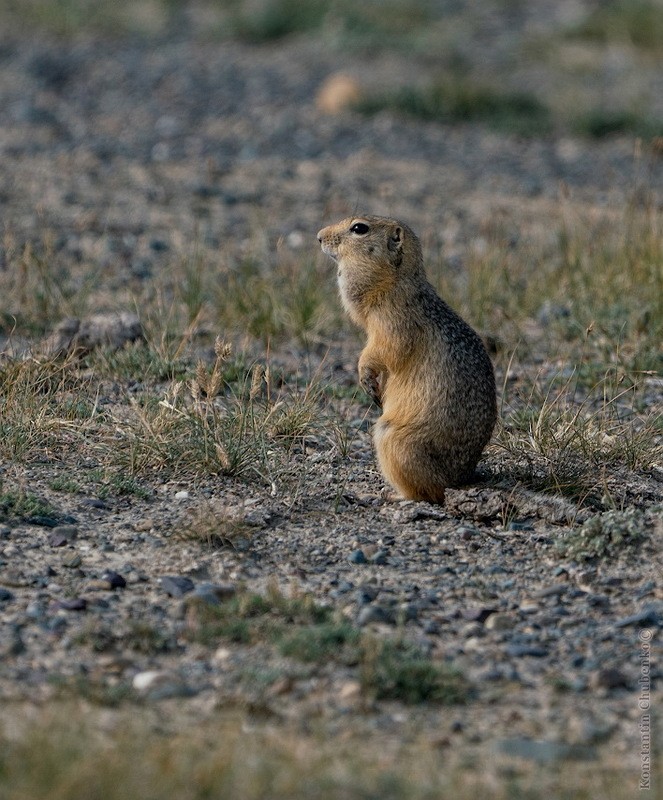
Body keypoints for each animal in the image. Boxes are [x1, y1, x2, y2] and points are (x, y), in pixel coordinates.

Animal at [318, 212, 498, 500]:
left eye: (359, 228)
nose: (319, 237)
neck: (394, 281)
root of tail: (463, 478)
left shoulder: (393, 321)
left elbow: (385, 350)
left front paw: (366, 379)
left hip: (394, 438)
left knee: (430, 492)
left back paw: (395, 496)